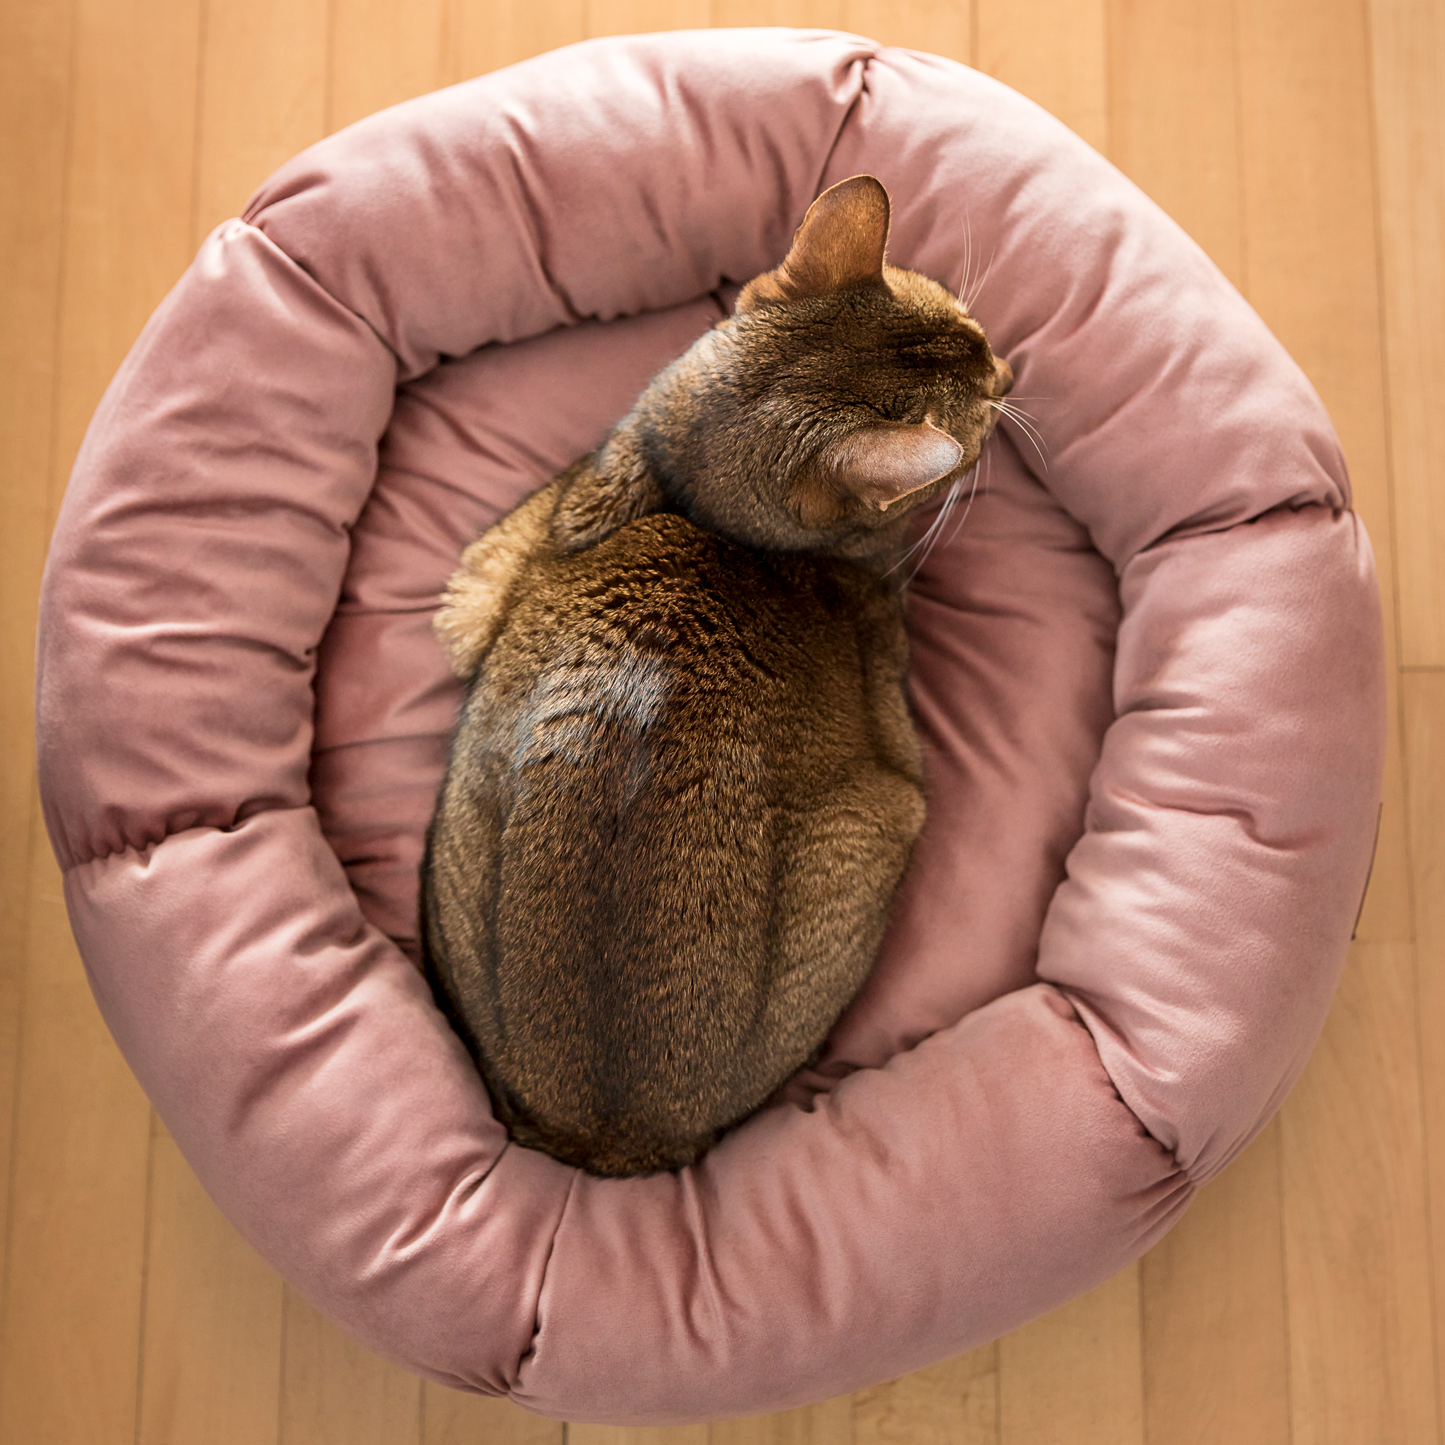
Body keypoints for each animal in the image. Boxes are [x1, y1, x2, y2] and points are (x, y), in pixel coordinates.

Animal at [421, 177, 1017, 1173]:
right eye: (976, 420)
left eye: (973, 328)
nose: (1008, 371)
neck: (699, 503)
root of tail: (610, 1134)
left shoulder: (513, 548)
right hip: (884, 815)